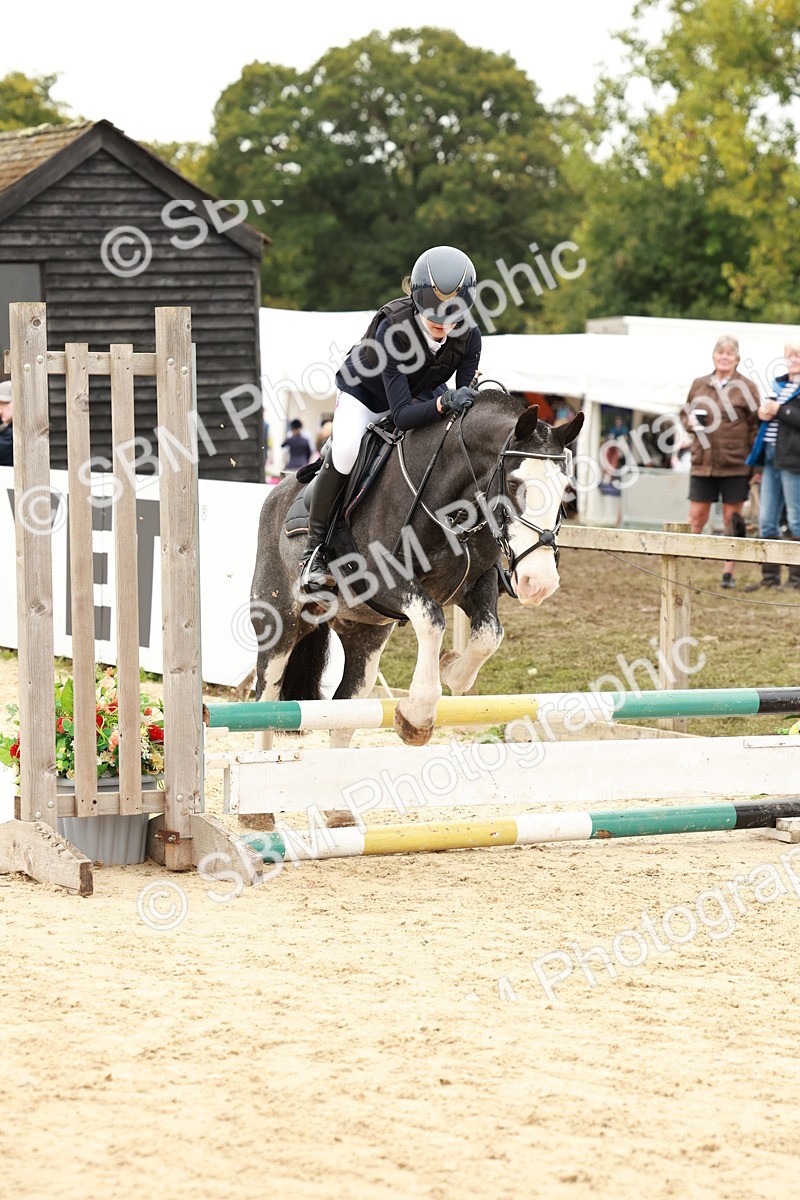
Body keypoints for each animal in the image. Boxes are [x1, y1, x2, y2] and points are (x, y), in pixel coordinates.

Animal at [250, 389, 584, 748]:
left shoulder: (477, 581)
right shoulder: (384, 581)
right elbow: (432, 619)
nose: (540, 582)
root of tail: (278, 492)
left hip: (364, 633)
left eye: (566, 488)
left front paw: (451, 669)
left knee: (343, 713)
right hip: (279, 623)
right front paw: (417, 714)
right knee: (266, 700)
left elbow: (489, 635)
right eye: (512, 481)